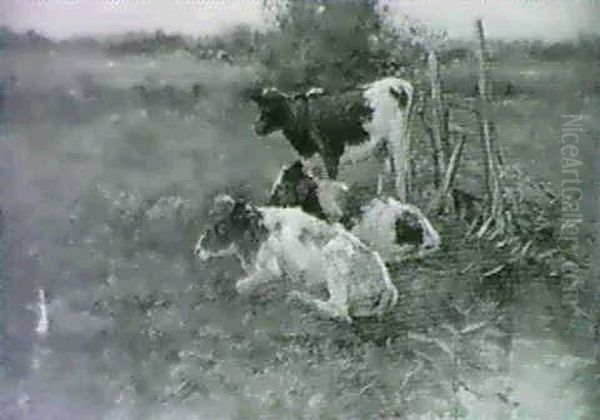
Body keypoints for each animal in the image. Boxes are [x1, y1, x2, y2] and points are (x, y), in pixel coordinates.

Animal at [193, 194, 398, 322]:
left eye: (221, 228)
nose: (197, 250)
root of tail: (387, 287)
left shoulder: (270, 269)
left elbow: (241, 286)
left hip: (334, 256)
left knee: (339, 311)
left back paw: (299, 298)